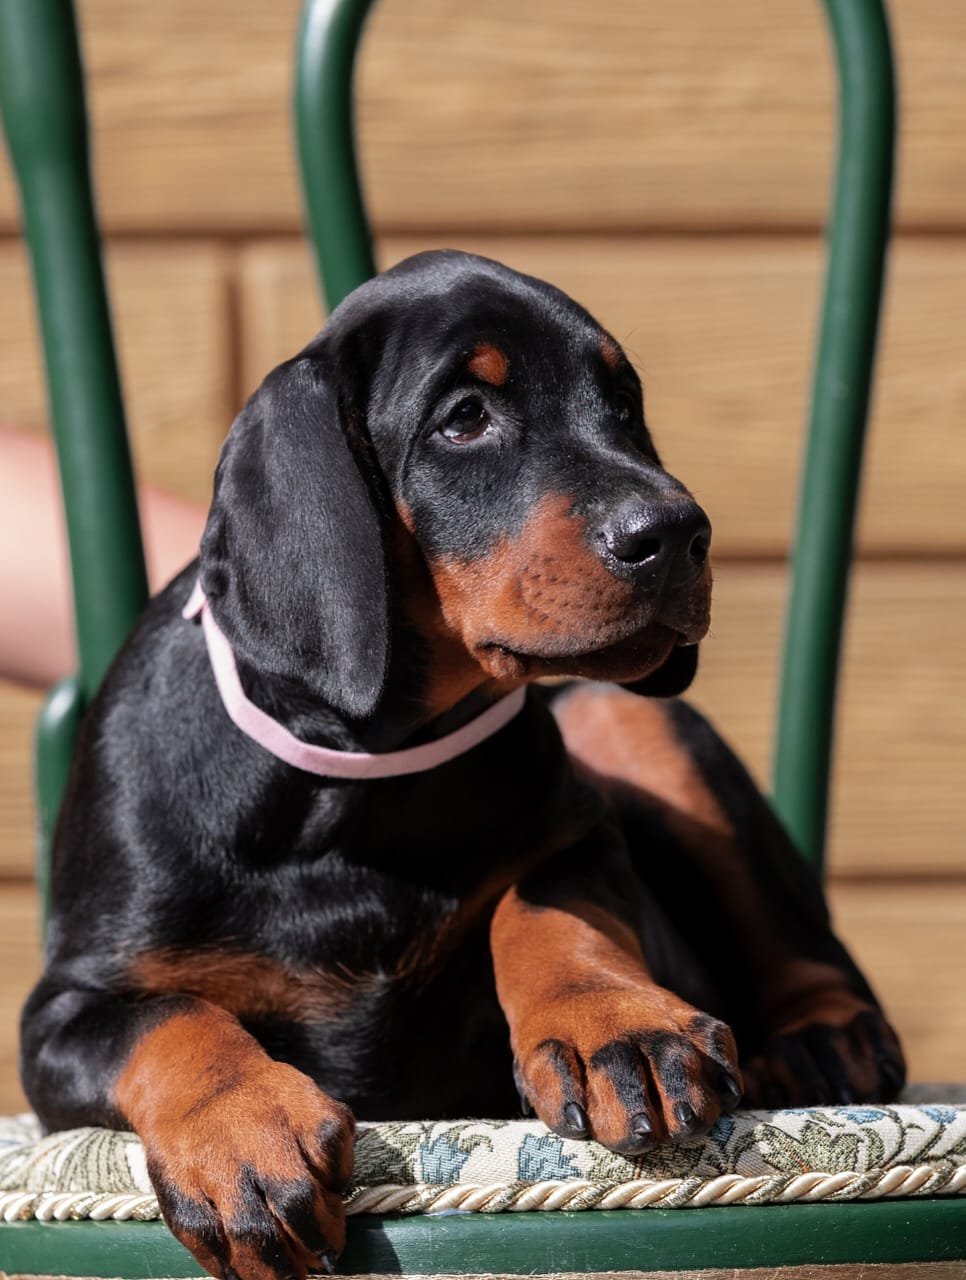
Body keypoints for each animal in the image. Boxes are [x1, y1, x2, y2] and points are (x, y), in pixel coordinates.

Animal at [21, 251, 905, 1280]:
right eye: (465, 417)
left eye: (623, 404)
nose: (681, 534)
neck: (363, 781)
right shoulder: (65, 1009)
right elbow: (165, 1019)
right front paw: (238, 1136)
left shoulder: (581, 832)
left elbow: (547, 905)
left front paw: (619, 1026)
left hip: (619, 714)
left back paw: (825, 1042)